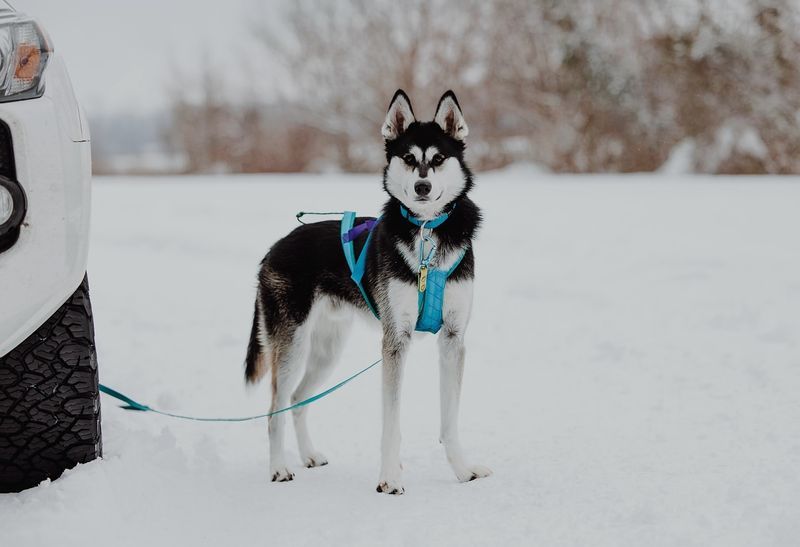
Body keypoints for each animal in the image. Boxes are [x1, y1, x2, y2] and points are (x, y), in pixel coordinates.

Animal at [247, 89, 490, 492]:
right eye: (409, 158)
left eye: (438, 159)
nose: (422, 187)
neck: (427, 235)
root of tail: (275, 247)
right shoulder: (395, 341)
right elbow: (391, 424)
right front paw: (390, 478)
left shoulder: (453, 339)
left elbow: (449, 421)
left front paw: (462, 468)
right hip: (292, 346)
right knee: (274, 410)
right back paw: (278, 468)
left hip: (326, 351)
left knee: (298, 399)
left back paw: (309, 455)